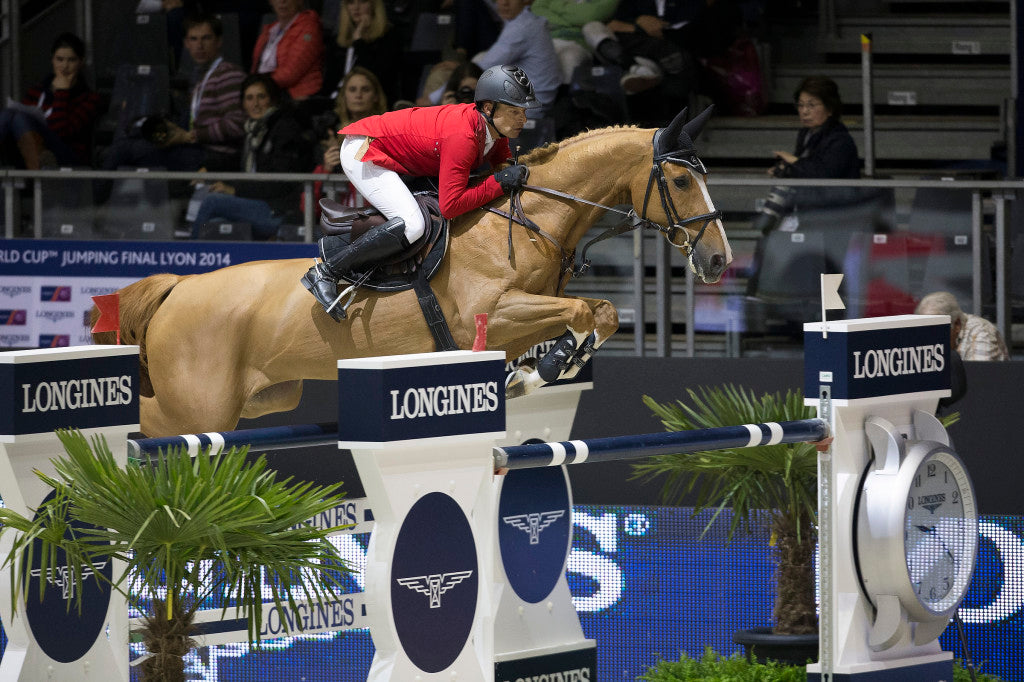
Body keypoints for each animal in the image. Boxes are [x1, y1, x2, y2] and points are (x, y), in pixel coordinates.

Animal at [94, 106, 729, 436]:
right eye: (679, 180)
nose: (719, 260)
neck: (530, 221)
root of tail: (179, 287)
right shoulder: (491, 315)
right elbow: (584, 310)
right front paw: (541, 369)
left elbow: (600, 313)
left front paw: (540, 370)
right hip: (196, 410)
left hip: (263, 400)